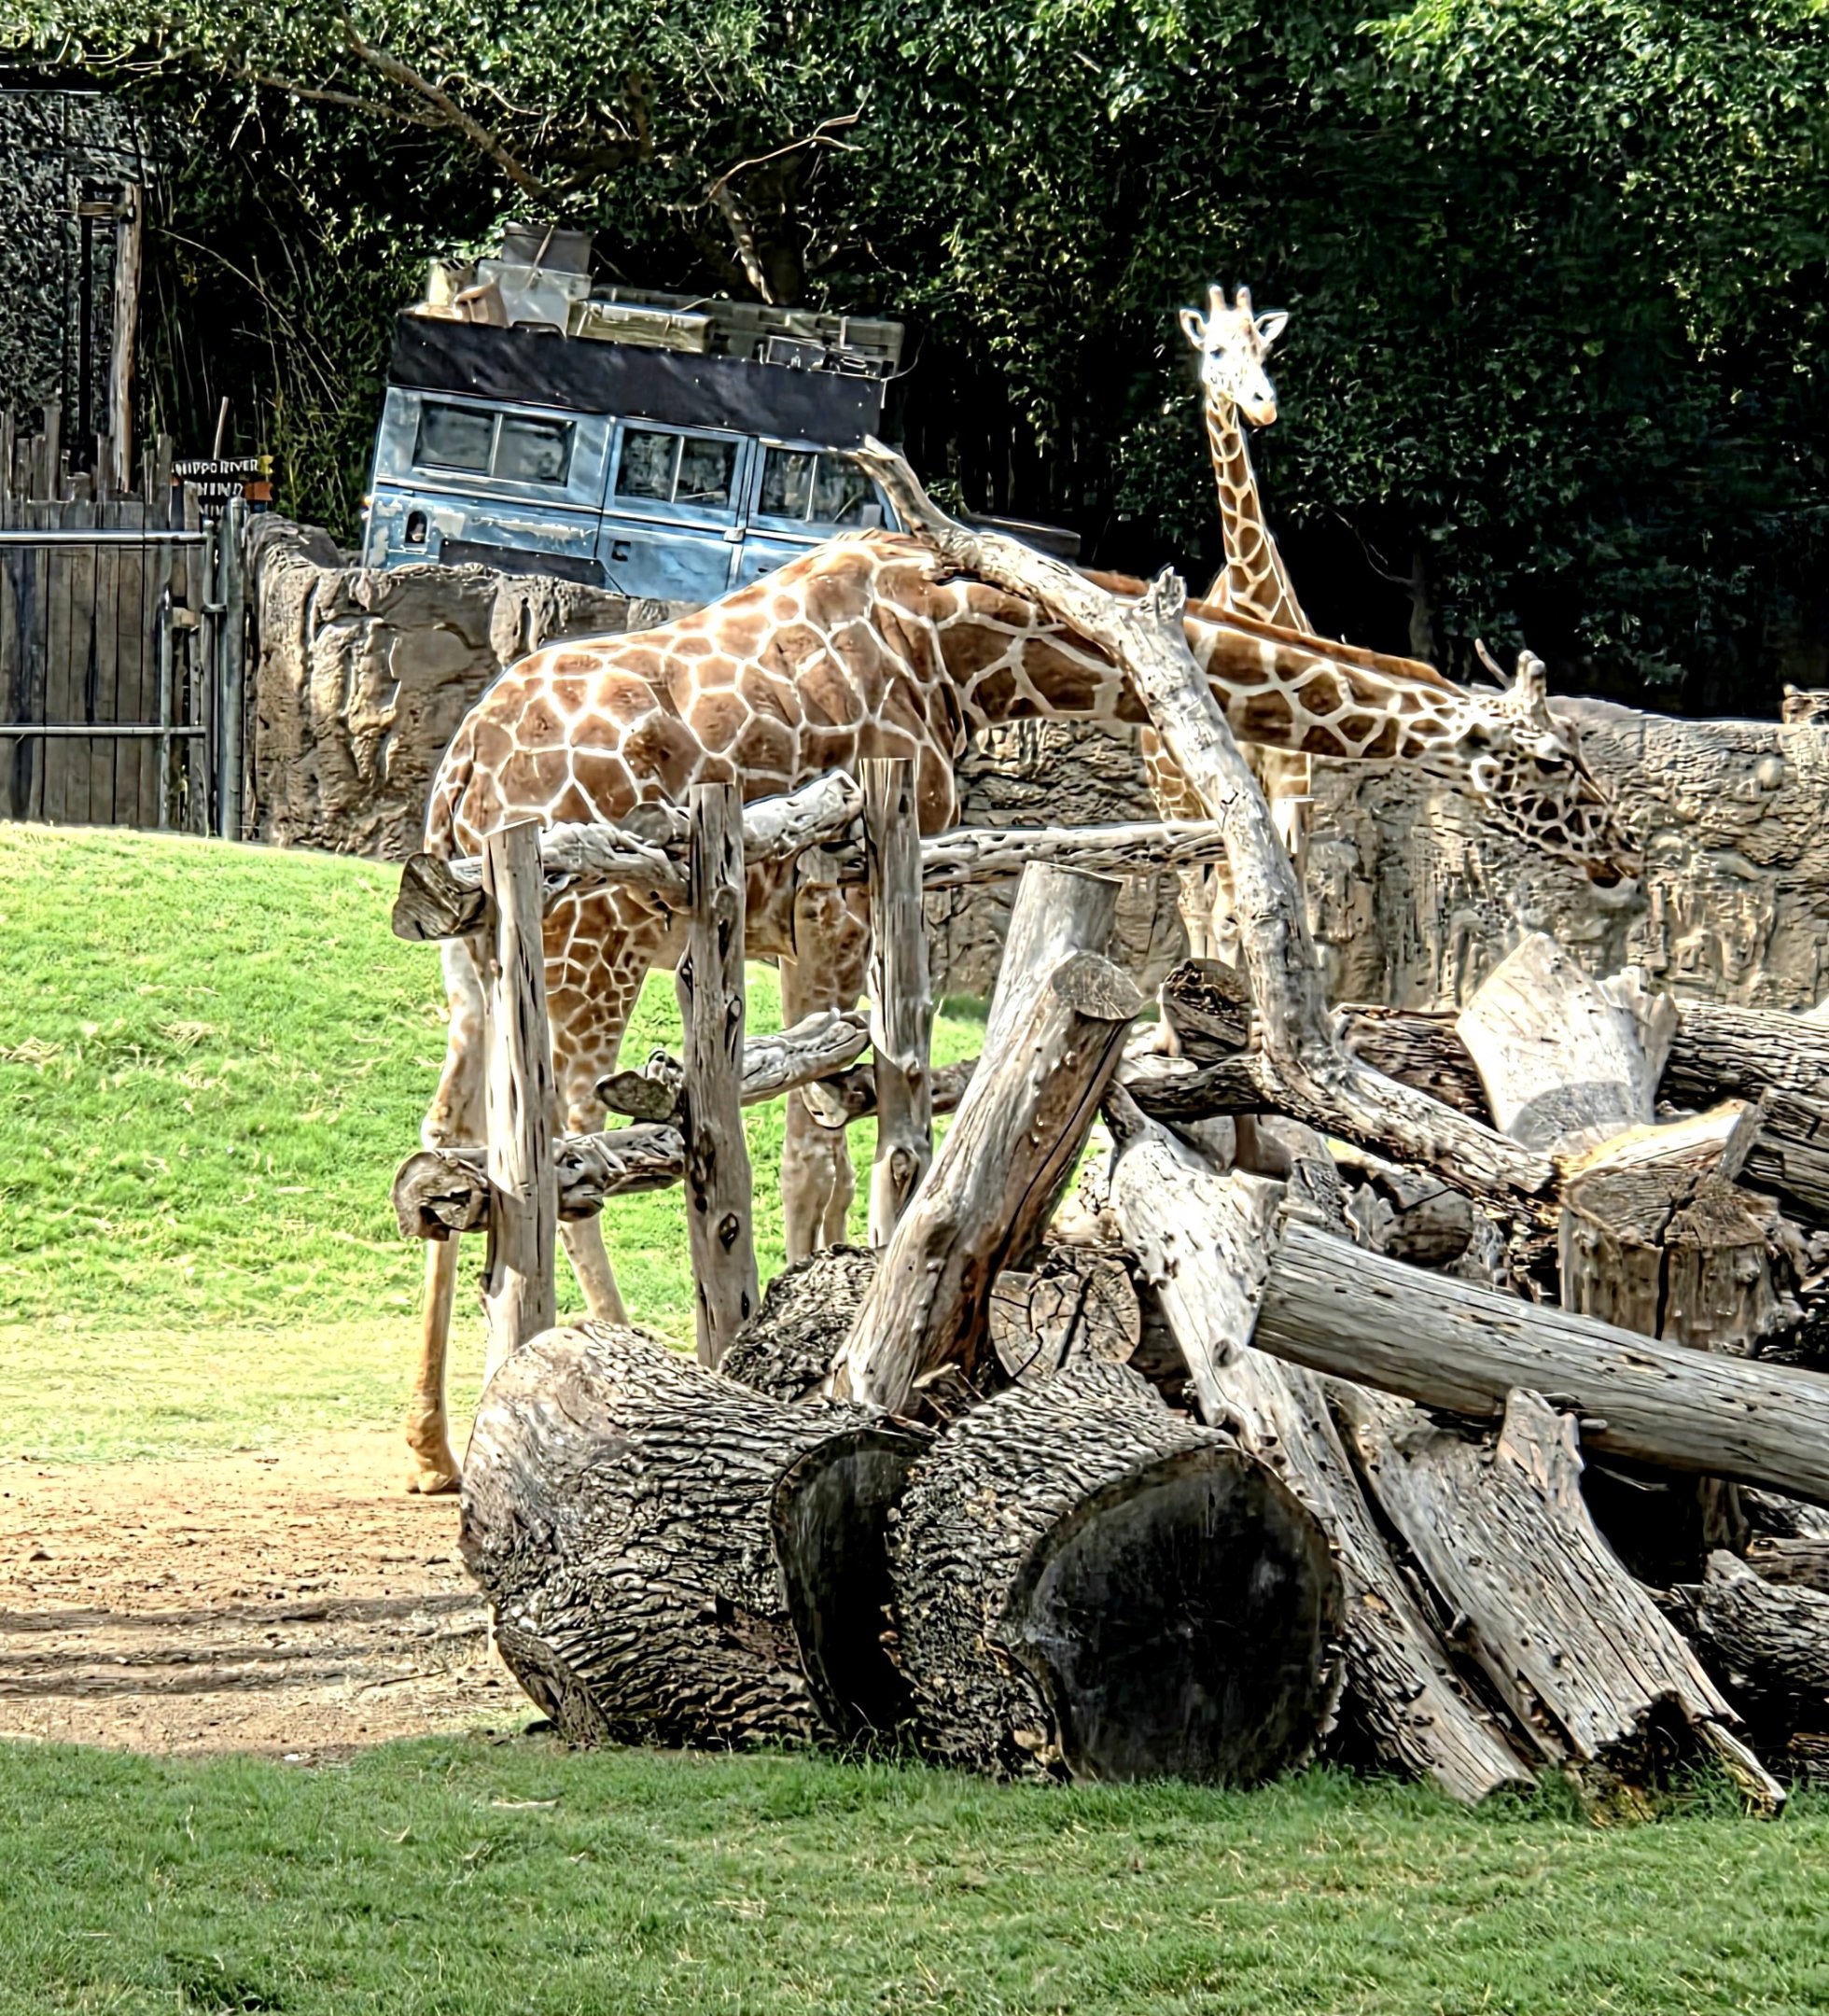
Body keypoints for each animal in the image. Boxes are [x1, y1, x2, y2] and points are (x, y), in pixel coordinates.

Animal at [403, 525, 1638, 1491]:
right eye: (1554, 760)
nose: (1622, 859)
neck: (969, 651)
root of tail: (460, 784)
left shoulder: (794, 921)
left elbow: (820, 1129)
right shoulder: (843, 892)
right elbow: (820, 1146)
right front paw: (784, 1363)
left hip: (475, 964)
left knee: (447, 1149)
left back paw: (437, 1447)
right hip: (588, 938)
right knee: (558, 1145)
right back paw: (590, 1369)